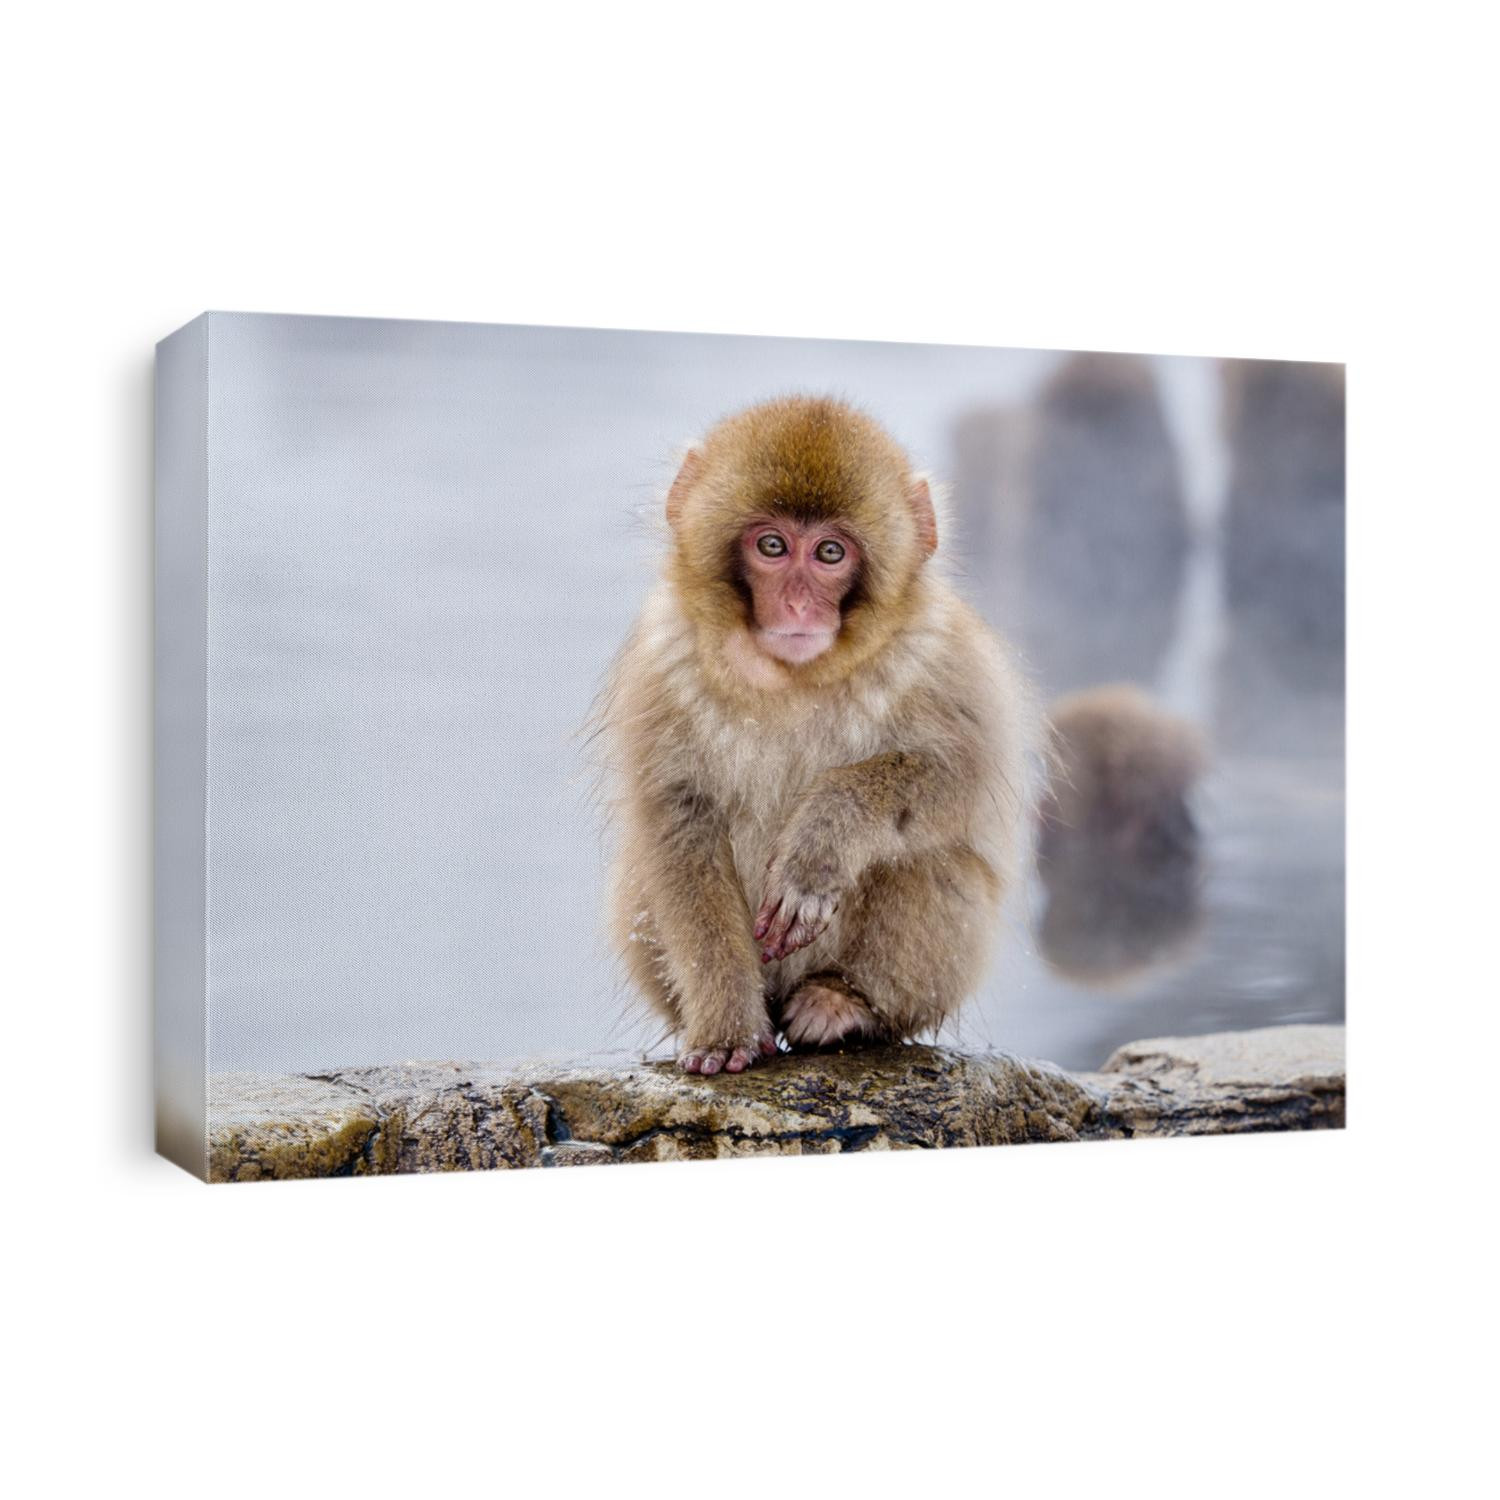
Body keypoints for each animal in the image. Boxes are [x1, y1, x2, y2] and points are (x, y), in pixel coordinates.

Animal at [595, 395, 1039, 1074]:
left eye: (830, 554)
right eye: (773, 545)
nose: (800, 606)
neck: (795, 678)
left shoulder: (944, 654)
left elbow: (964, 778)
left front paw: (821, 841)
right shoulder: (662, 664)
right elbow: (678, 827)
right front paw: (725, 1025)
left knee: (931, 859)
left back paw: (842, 1003)